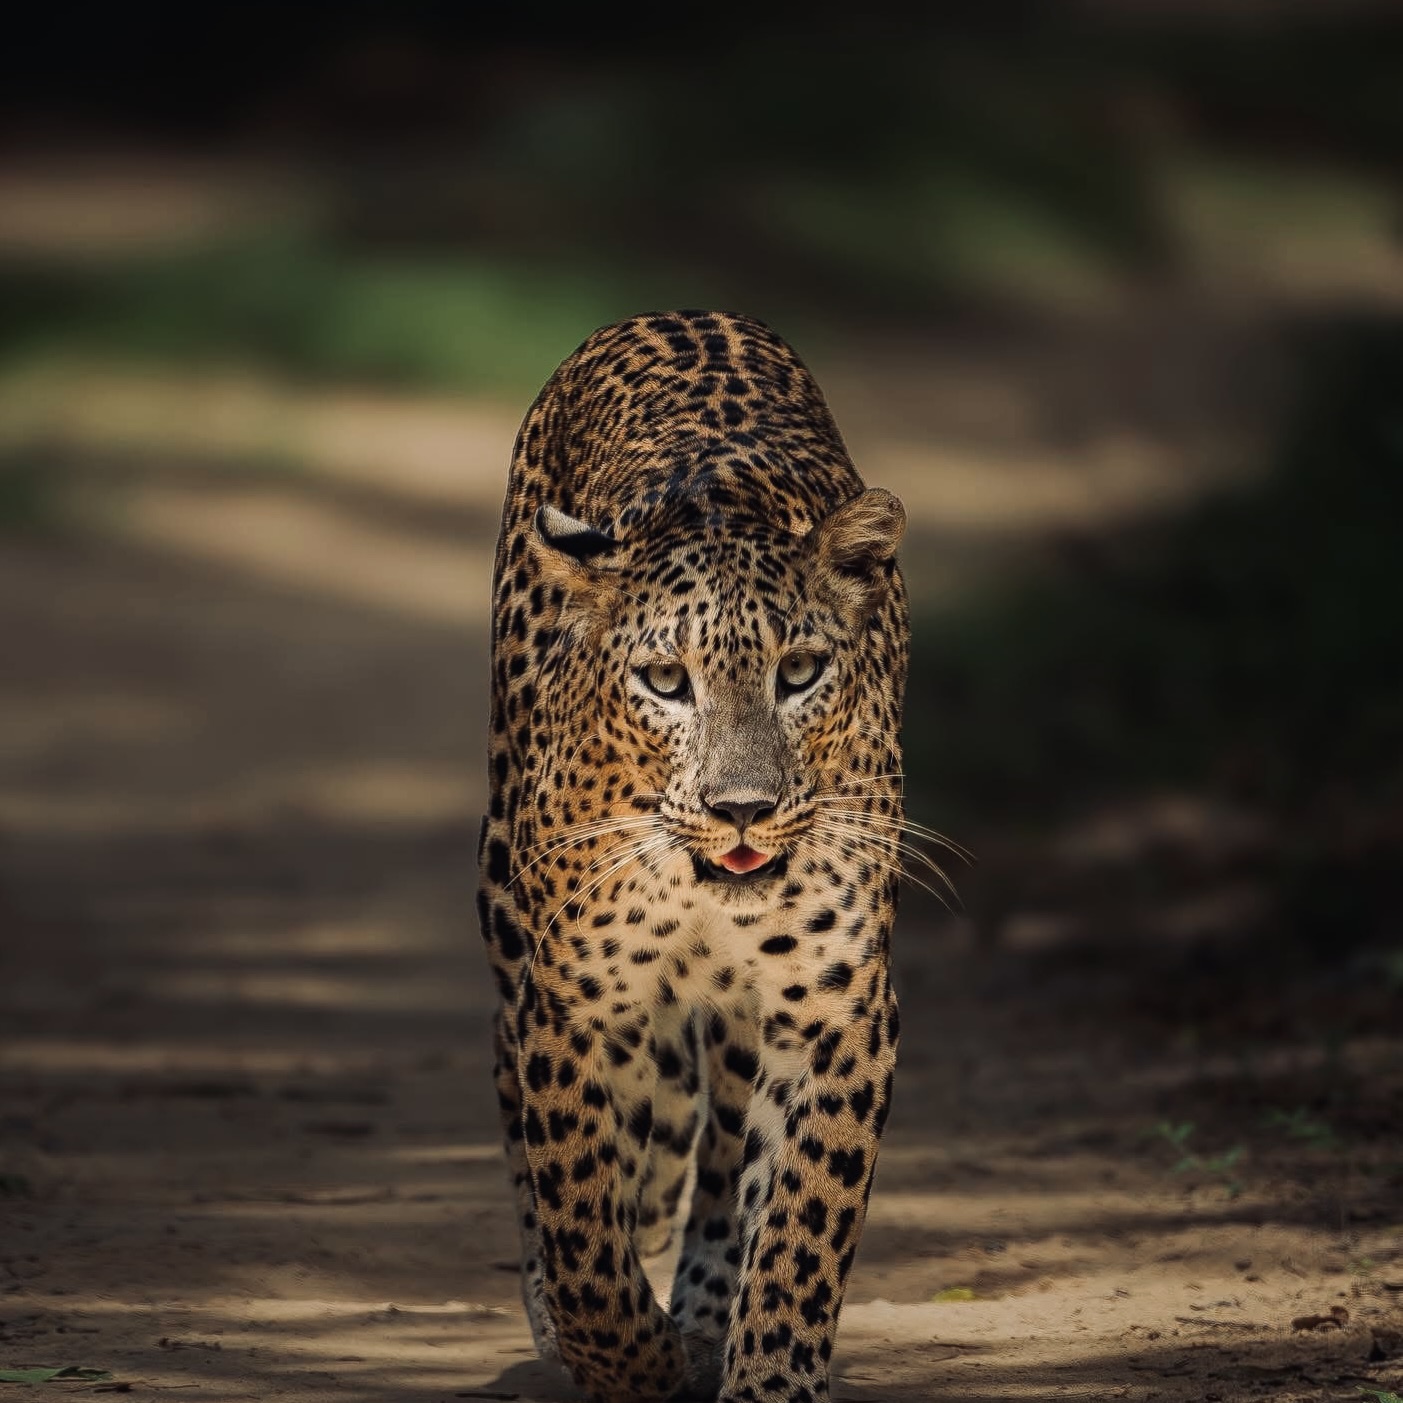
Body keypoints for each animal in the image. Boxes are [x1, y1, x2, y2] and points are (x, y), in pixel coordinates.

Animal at [476, 310, 909, 1403]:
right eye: (665, 681)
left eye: (800, 672)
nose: (741, 809)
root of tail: (669, 312)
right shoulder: (571, 1001)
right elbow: (581, 1222)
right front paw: (627, 1358)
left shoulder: (840, 1007)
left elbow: (800, 1226)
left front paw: (763, 1375)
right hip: (507, 918)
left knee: (716, 1152)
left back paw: (708, 1308)